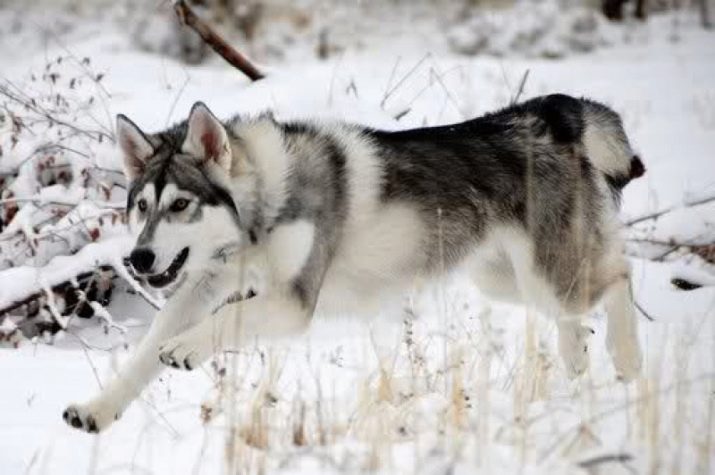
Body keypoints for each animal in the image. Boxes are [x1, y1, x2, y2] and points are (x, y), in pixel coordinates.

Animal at [61, 95, 648, 434]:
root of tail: (545, 116)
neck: (260, 210)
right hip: (505, 281)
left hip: (547, 278)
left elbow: (223, 321)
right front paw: (97, 410)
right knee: (579, 313)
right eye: (142, 206)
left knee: (620, 275)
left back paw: (626, 359)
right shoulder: (201, 286)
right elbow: (143, 357)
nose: (138, 258)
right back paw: (576, 362)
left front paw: (185, 349)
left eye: (182, 204)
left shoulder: (292, 302)